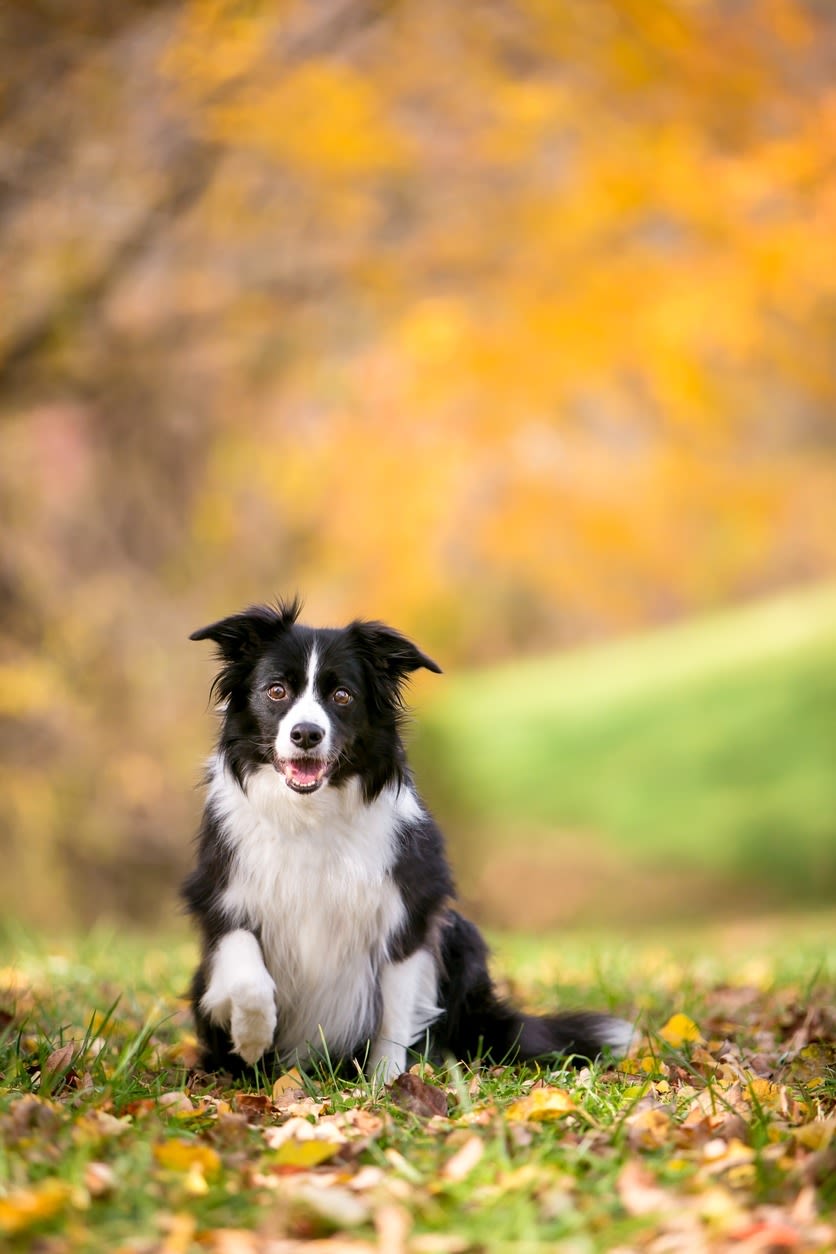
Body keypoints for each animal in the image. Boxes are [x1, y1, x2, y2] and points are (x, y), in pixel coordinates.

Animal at [181, 596, 626, 1078]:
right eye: (276, 691)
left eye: (342, 696)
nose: (306, 734)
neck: (312, 815)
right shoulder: (220, 893)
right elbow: (245, 972)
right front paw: (251, 1037)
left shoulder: (409, 907)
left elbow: (394, 1011)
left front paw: (386, 1081)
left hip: (462, 934)